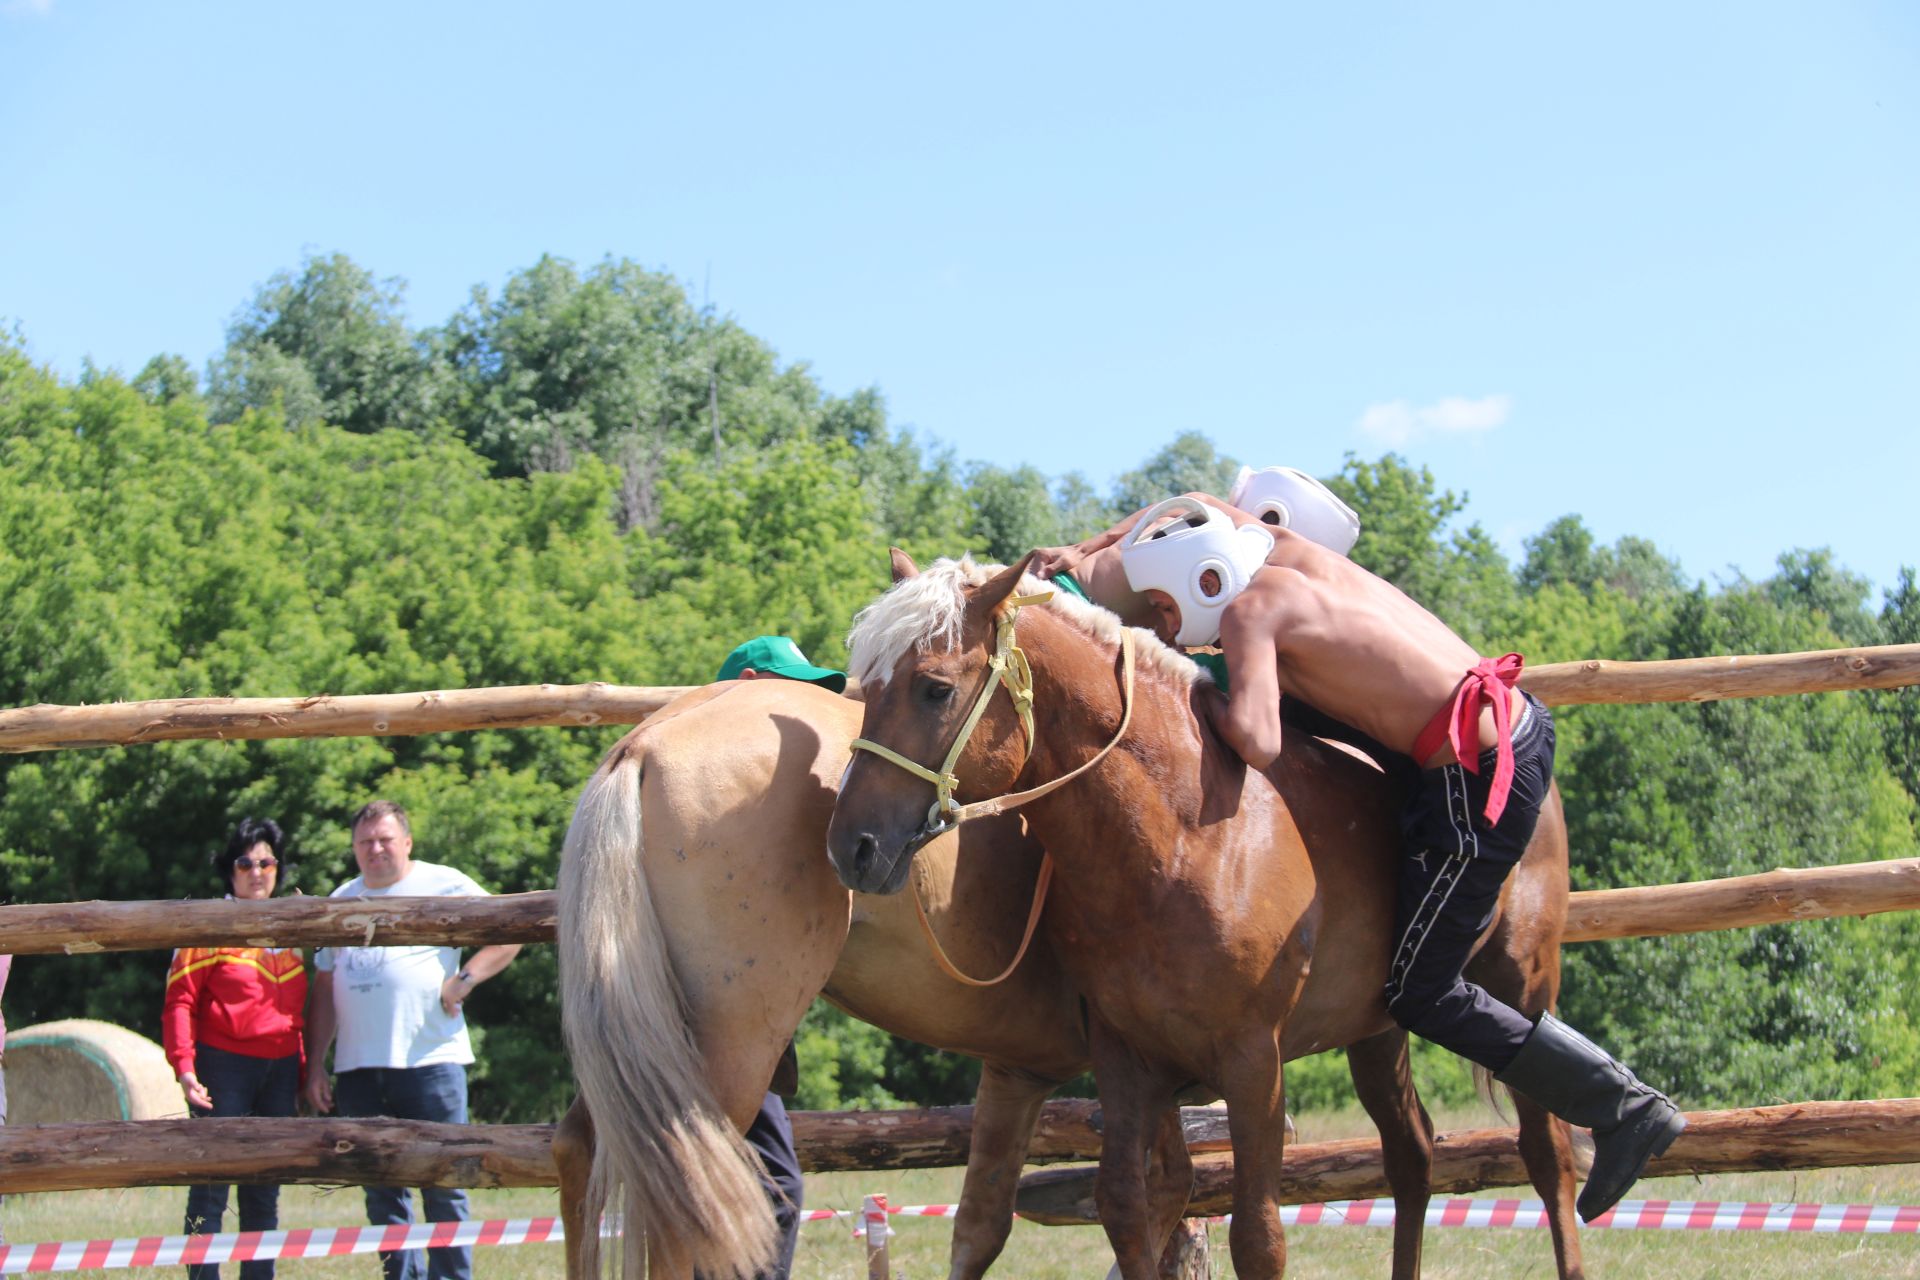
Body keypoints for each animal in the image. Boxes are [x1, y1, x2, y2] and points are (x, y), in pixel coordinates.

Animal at [825, 556, 1589, 1280]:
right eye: (866, 685)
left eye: (935, 687)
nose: (850, 845)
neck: (1185, 837)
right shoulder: (1127, 1059)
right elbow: (1125, 1207)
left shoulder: (1253, 1063)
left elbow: (1257, 1237)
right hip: (1378, 1029)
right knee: (1412, 1155)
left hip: (1517, 986)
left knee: (1548, 1154)